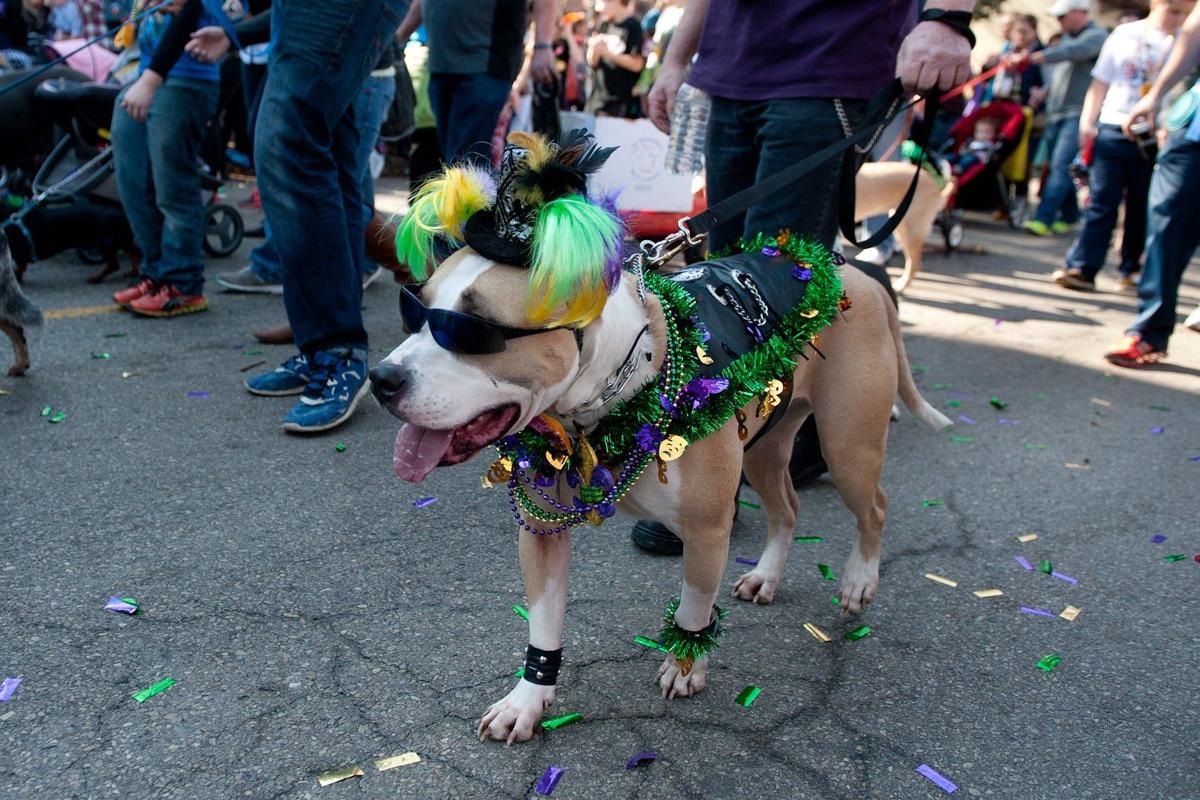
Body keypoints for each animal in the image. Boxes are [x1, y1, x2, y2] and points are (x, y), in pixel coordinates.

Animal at [3, 200, 140, 284]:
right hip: (121, 240)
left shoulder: (19, 255)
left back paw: (96, 278)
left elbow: (17, 271)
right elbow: (18, 270)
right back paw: (133, 272)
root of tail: (123, 215)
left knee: (114, 264)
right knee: (136, 252)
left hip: (104, 243)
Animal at [369, 247, 950, 748]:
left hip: (848, 446)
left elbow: (694, 602)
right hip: (767, 445)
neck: (601, 404)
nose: (381, 378)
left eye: (474, 331)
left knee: (874, 506)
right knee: (787, 508)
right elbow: (544, 620)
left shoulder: (708, 530)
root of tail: (856, 275)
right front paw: (528, 700)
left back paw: (858, 581)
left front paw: (686, 664)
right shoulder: (542, 532)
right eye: (414, 311)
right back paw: (766, 575)